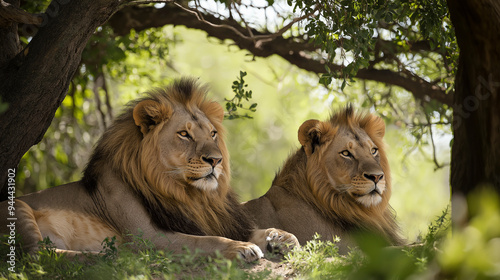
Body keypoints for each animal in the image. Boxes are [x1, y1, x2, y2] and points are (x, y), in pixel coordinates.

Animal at [0, 77, 296, 262]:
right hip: (16, 208)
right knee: (39, 255)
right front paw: (243, 247)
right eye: (184, 134)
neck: (190, 197)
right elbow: (208, 241)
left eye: (212, 133)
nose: (216, 160)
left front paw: (281, 236)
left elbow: (254, 230)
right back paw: (108, 256)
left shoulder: (213, 219)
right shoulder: (151, 237)